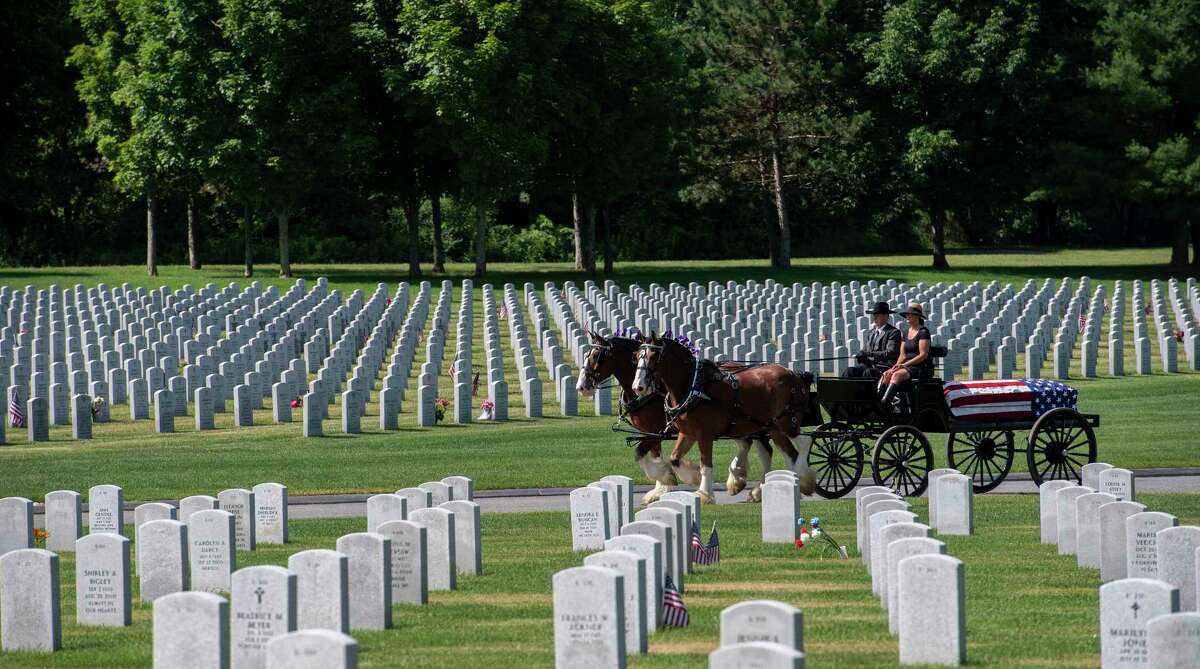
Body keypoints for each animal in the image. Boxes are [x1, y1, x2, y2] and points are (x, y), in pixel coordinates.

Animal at [573, 333, 777, 505]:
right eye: (636, 357)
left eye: (596, 355)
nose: (581, 387)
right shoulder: (653, 433)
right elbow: (653, 456)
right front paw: (661, 487)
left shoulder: (656, 431)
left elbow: (640, 454)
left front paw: (672, 480)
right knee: (754, 446)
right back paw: (742, 481)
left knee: (761, 448)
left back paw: (754, 487)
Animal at [628, 335, 816, 503]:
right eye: (636, 357)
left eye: (653, 356)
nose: (638, 387)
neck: (693, 386)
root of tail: (794, 374)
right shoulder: (687, 433)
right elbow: (674, 459)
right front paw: (686, 478)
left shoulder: (704, 434)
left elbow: (706, 465)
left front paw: (704, 494)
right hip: (772, 427)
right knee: (788, 454)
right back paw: (788, 485)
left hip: (786, 423)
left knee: (804, 442)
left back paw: (801, 479)